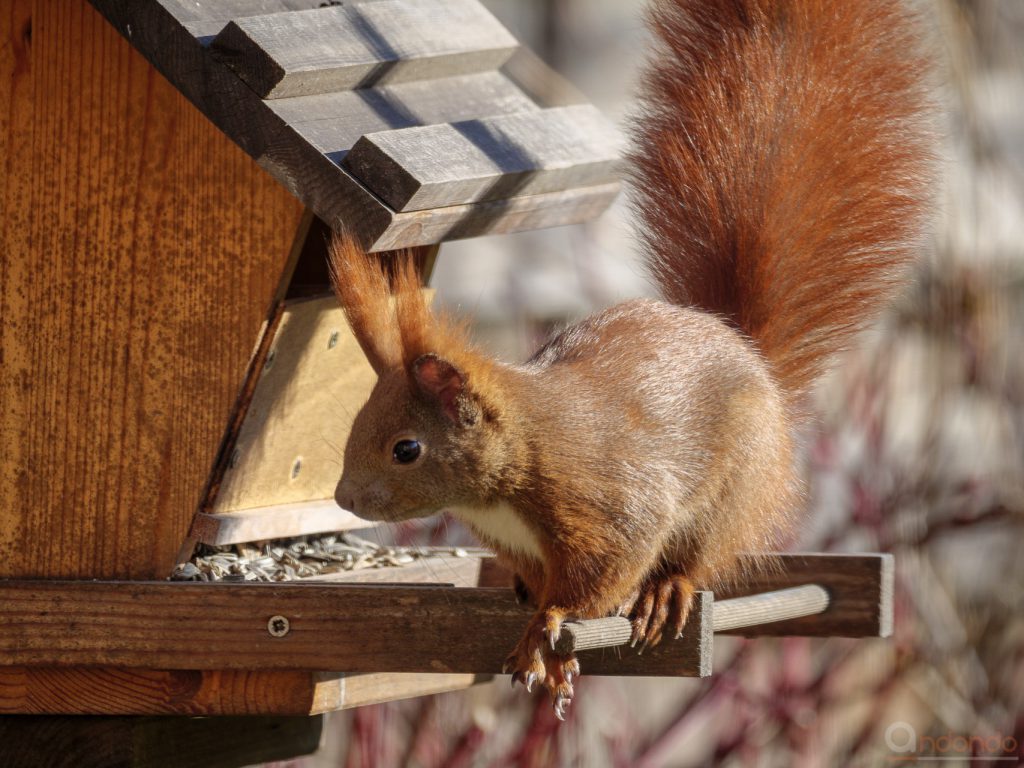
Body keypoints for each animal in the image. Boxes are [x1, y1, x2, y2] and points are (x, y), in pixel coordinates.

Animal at [329, 0, 937, 716]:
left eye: (406, 449)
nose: (343, 499)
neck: (518, 461)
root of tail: (744, 348)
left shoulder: (608, 504)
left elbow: (600, 579)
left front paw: (548, 627)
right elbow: (544, 581)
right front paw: (543, 633)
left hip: (734, 491)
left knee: (698, 558)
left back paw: (666, 592)